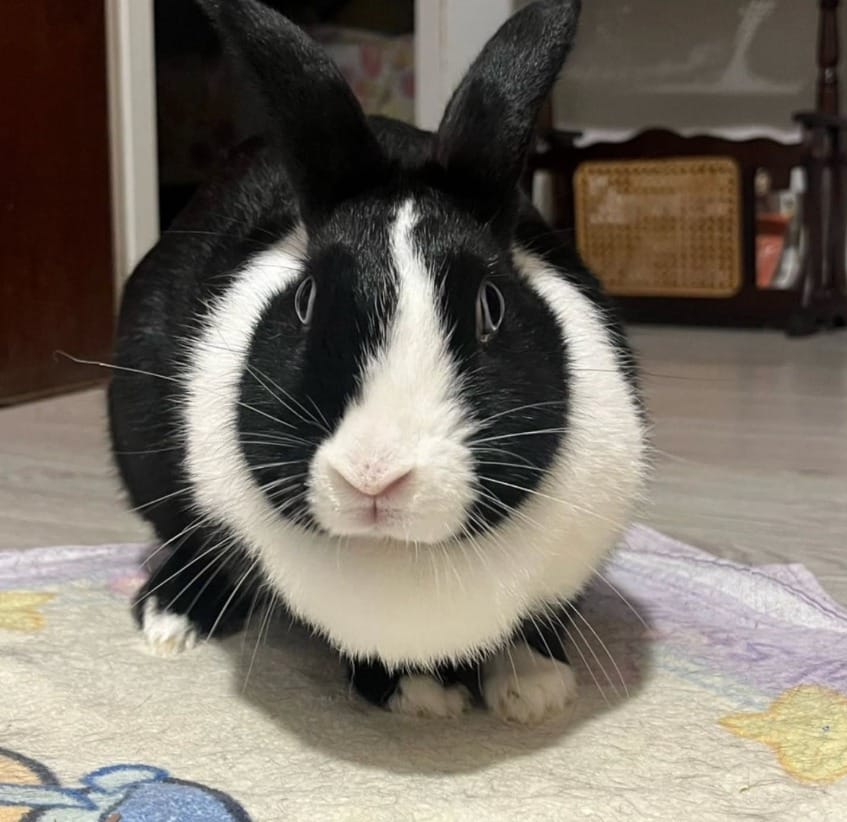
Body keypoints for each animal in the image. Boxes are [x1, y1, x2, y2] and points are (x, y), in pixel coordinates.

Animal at [108, 0, 647, 724]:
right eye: (306, 300)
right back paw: (171, 618)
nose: (373, 476)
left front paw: (533, 689)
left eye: (491, 306)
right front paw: (418, 693)